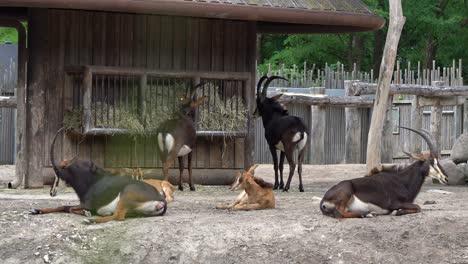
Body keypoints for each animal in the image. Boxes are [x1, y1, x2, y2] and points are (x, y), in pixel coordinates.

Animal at [30, 128, 167, 223]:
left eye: (57, 172)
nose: (51, 192)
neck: (91, 181)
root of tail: (161, 199)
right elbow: (64, 207)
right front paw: (37, 210)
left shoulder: (87, 204)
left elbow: (67, 207)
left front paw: (87, 214)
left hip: (127, 193)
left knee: (118, 216)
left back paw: (91, 220)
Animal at [320, 126, 448, 219]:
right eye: (432, 161)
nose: (446, 178)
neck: (401, 181)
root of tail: (324, 200)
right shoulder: (394, 203)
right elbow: (418, 207)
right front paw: (397, 212)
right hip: (346, 192)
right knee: (339, 213)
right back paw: (365, 213)